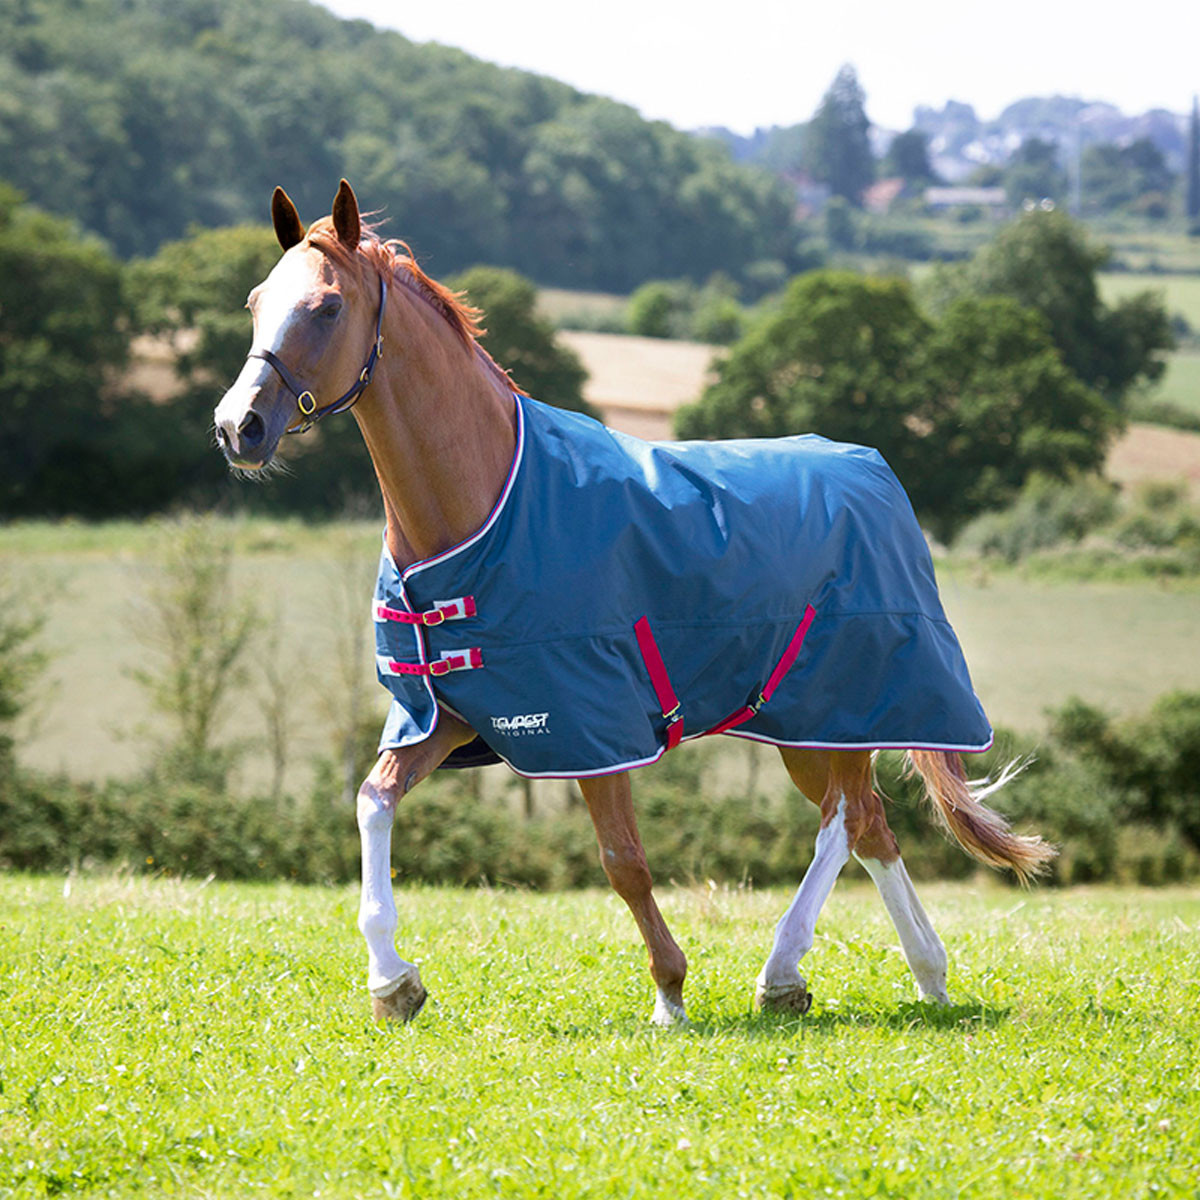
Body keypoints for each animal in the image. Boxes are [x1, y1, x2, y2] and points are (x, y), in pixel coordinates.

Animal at [214, 180, 1053, 1027]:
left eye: (326, 307)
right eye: (255, 303)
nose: (236, 427)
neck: (485, 503)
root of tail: (875, 475)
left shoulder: (595, 725)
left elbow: (623, 861)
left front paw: (670, 993)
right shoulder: (448, 715)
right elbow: (373, 801)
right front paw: (394, 984)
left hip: (846, 701)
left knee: (842, 823)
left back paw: (784, 971)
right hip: (812, 727)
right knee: (870, 825)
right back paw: (928, 975)